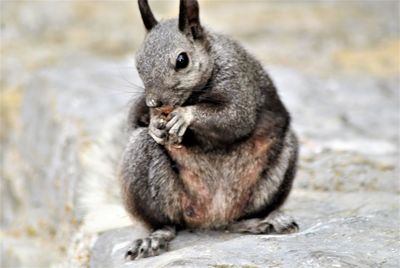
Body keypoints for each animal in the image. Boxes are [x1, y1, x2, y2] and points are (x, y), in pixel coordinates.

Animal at [120, 0, 298, 260]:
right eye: (137, 63)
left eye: (182, 60)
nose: (154, 101)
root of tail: (212, 215)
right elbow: (135, 119)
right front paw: (154, 123)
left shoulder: (239, 83)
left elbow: (236, 119)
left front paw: (184, 116)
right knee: (168, 224)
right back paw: (154, 238)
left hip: (276, 172)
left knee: (237, 221)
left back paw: (262, 221)